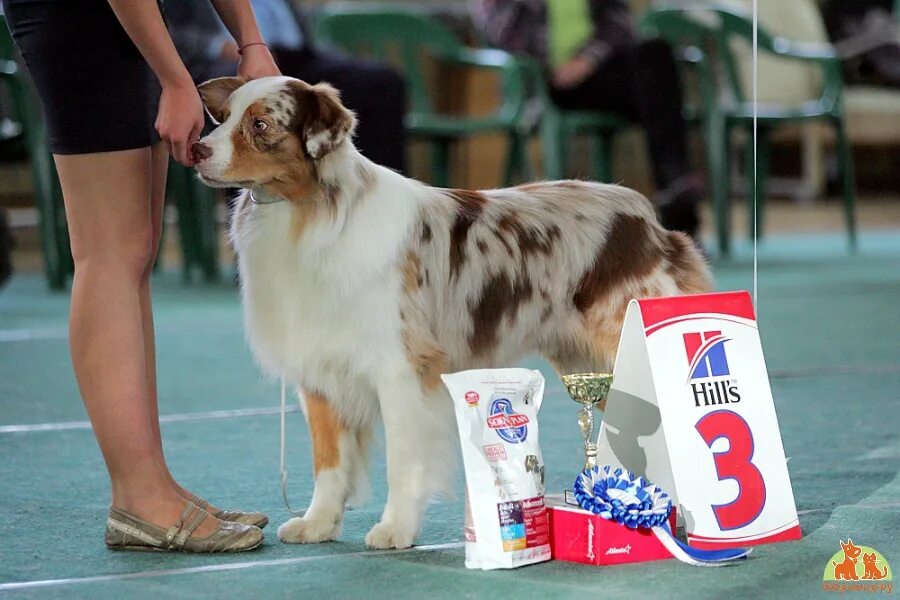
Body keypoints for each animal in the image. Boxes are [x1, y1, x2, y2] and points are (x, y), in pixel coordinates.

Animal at [193, 75, 712, 548]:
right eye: (224, 118)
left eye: (260, 124)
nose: (196, 149)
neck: (310, 212)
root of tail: (648, 217)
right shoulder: (321, 371)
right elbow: (329, 461)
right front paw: (318, 523)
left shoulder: (400, 369)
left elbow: (402, 459)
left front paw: (396, 529)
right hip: (591, 364)